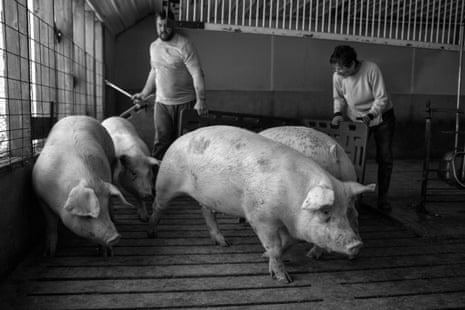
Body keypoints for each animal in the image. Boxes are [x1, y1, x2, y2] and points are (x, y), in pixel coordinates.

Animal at [32, 116, 131, 256]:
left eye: (104, 209)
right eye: (88, 216)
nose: (115, 237)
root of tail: (77, 116)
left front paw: (107, 254)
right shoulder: (41, 197)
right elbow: (51, 223)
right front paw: (48, 254)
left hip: (111, 159)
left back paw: (116, 219)